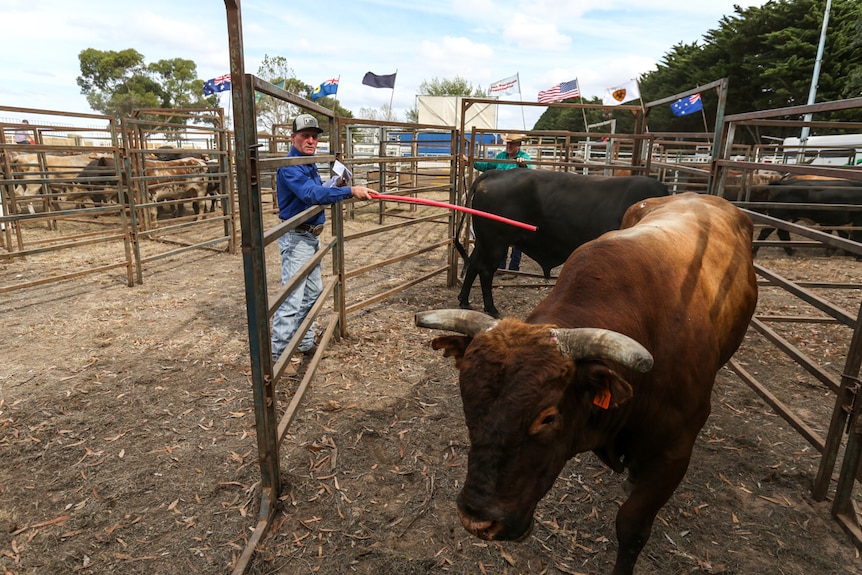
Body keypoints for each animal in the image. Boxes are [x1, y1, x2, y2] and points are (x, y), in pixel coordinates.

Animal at [456, 171, 672, 320]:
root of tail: (496, 173)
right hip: (495, 242)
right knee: (485, 271)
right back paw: (491, 308)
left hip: (484, 242)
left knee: (473, 265)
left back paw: (464, 301)